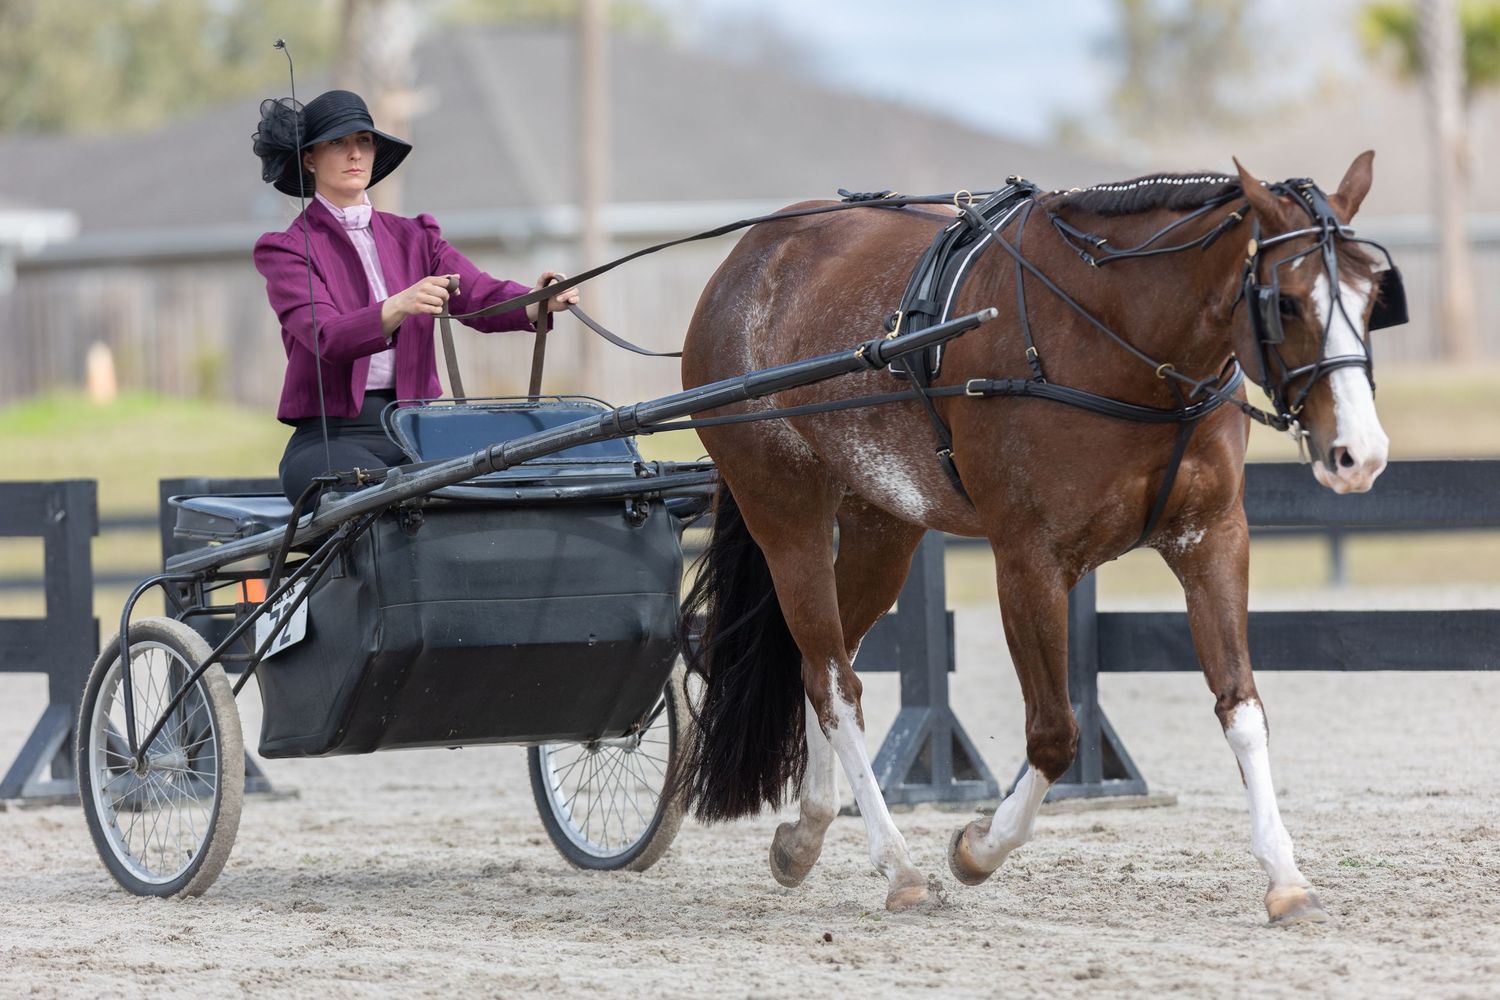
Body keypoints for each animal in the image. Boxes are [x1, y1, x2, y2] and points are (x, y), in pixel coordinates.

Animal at [674, 152, 1395, 923]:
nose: (1360, 453)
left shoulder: (1212, 539)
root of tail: (752, 256)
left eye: (1372, 294)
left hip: (882, 522)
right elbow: (1053, 736)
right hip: (786, 512)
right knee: (833, 681)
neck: (1114, 333)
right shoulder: (1028, 561)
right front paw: (976, 849)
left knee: (825, 665)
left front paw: (1284, 876)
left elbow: (1242, 707)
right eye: (1286, 302)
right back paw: (899, 866)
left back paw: (806, 832)